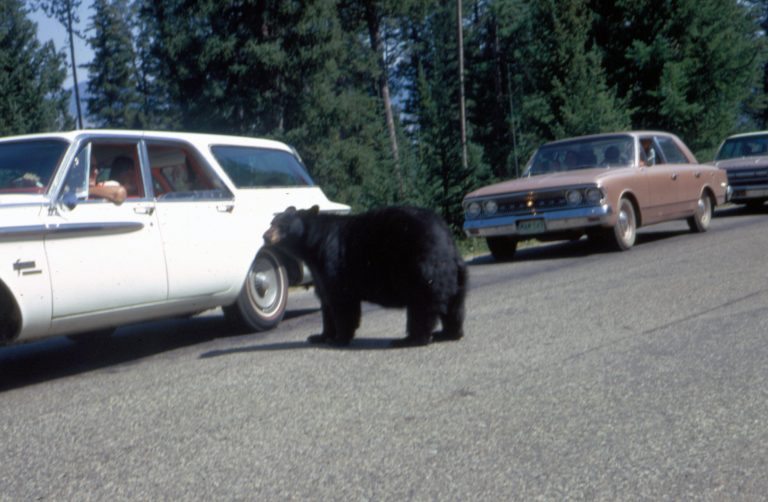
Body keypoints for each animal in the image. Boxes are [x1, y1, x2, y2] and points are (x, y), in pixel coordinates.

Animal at [263, 205, 467, 348]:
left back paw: (411, 339)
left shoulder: (333, 261)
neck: (314, 245)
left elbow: (341, 301)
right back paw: (448, 333)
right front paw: (320, 336)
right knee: (454, 306)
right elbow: (326, 302)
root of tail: (447, 238)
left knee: (423, 305)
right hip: (456, 274)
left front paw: (339, 338)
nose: (265, 236)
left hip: (422, 267)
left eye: (282, 225)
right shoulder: (318, 271)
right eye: (271, 223)